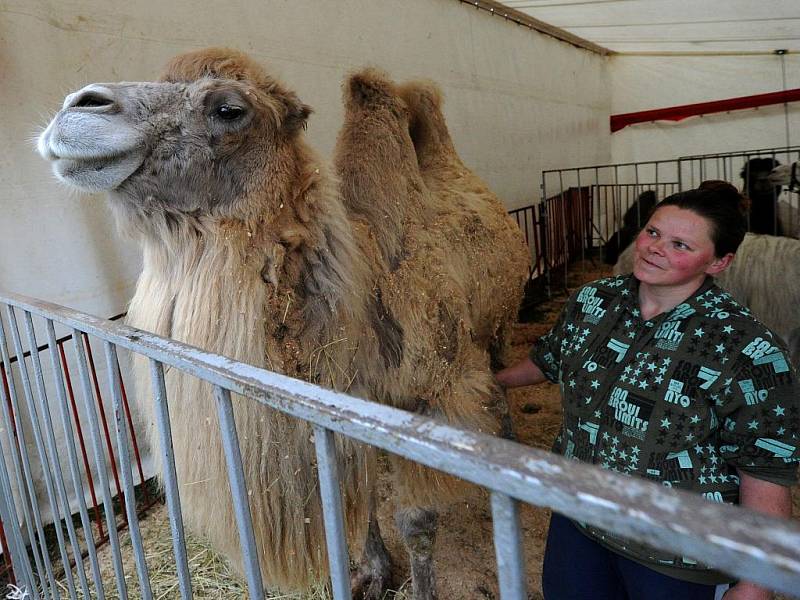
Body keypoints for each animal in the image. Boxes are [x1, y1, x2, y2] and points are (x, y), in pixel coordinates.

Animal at [36, 48, 532, 600]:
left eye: (229, 109)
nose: (78, 107)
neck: (363, 298)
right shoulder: (341, 410)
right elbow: (356, 501)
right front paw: (372, 572)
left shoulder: (430, 399)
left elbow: (417, 521)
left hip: (500, 321)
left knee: (501, 375)